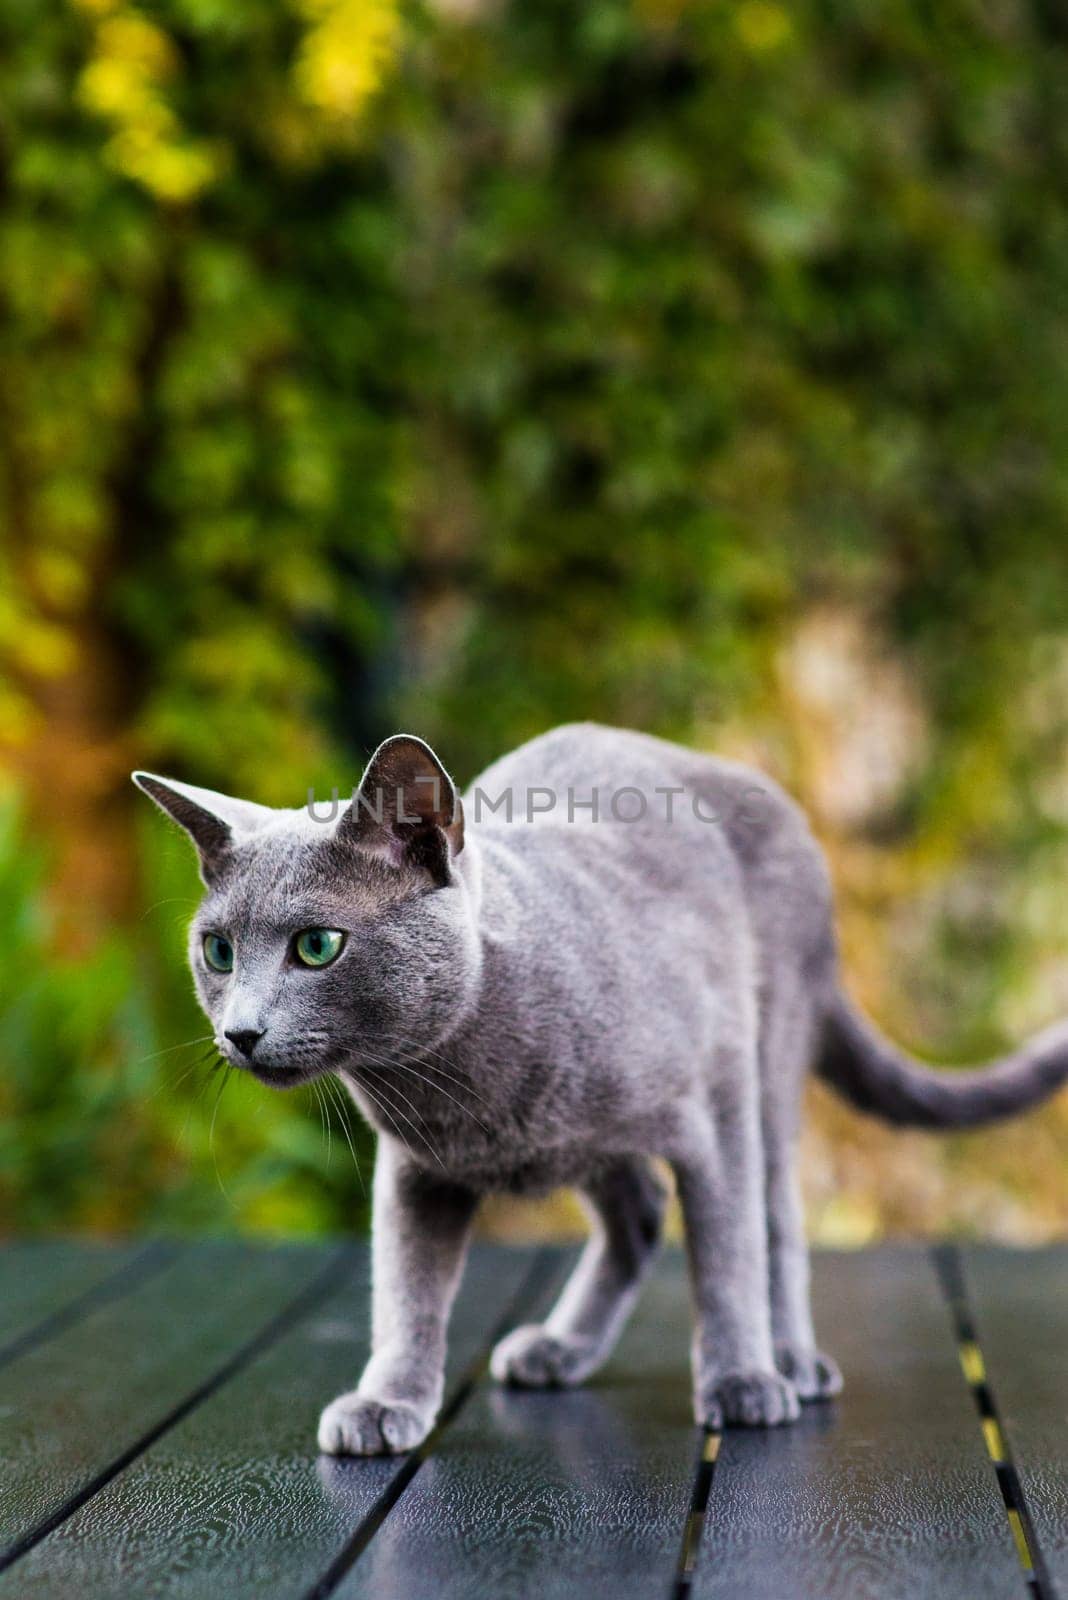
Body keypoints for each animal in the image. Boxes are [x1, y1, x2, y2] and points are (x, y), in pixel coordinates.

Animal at [133, 726, 1068, 1452]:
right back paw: (559, 1347)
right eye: (218, 952)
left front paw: (740, 1379)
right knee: (639, 1216)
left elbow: (728, 1249)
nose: (240, 1031)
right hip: (589, 1141)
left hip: (772, 1050)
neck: (466, 1083)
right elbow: (405, 1292)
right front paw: (388, 1401)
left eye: (318, 946)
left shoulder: (715, 1106)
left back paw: (791, 1361)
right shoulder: (415, 1172)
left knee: (773, 1216)